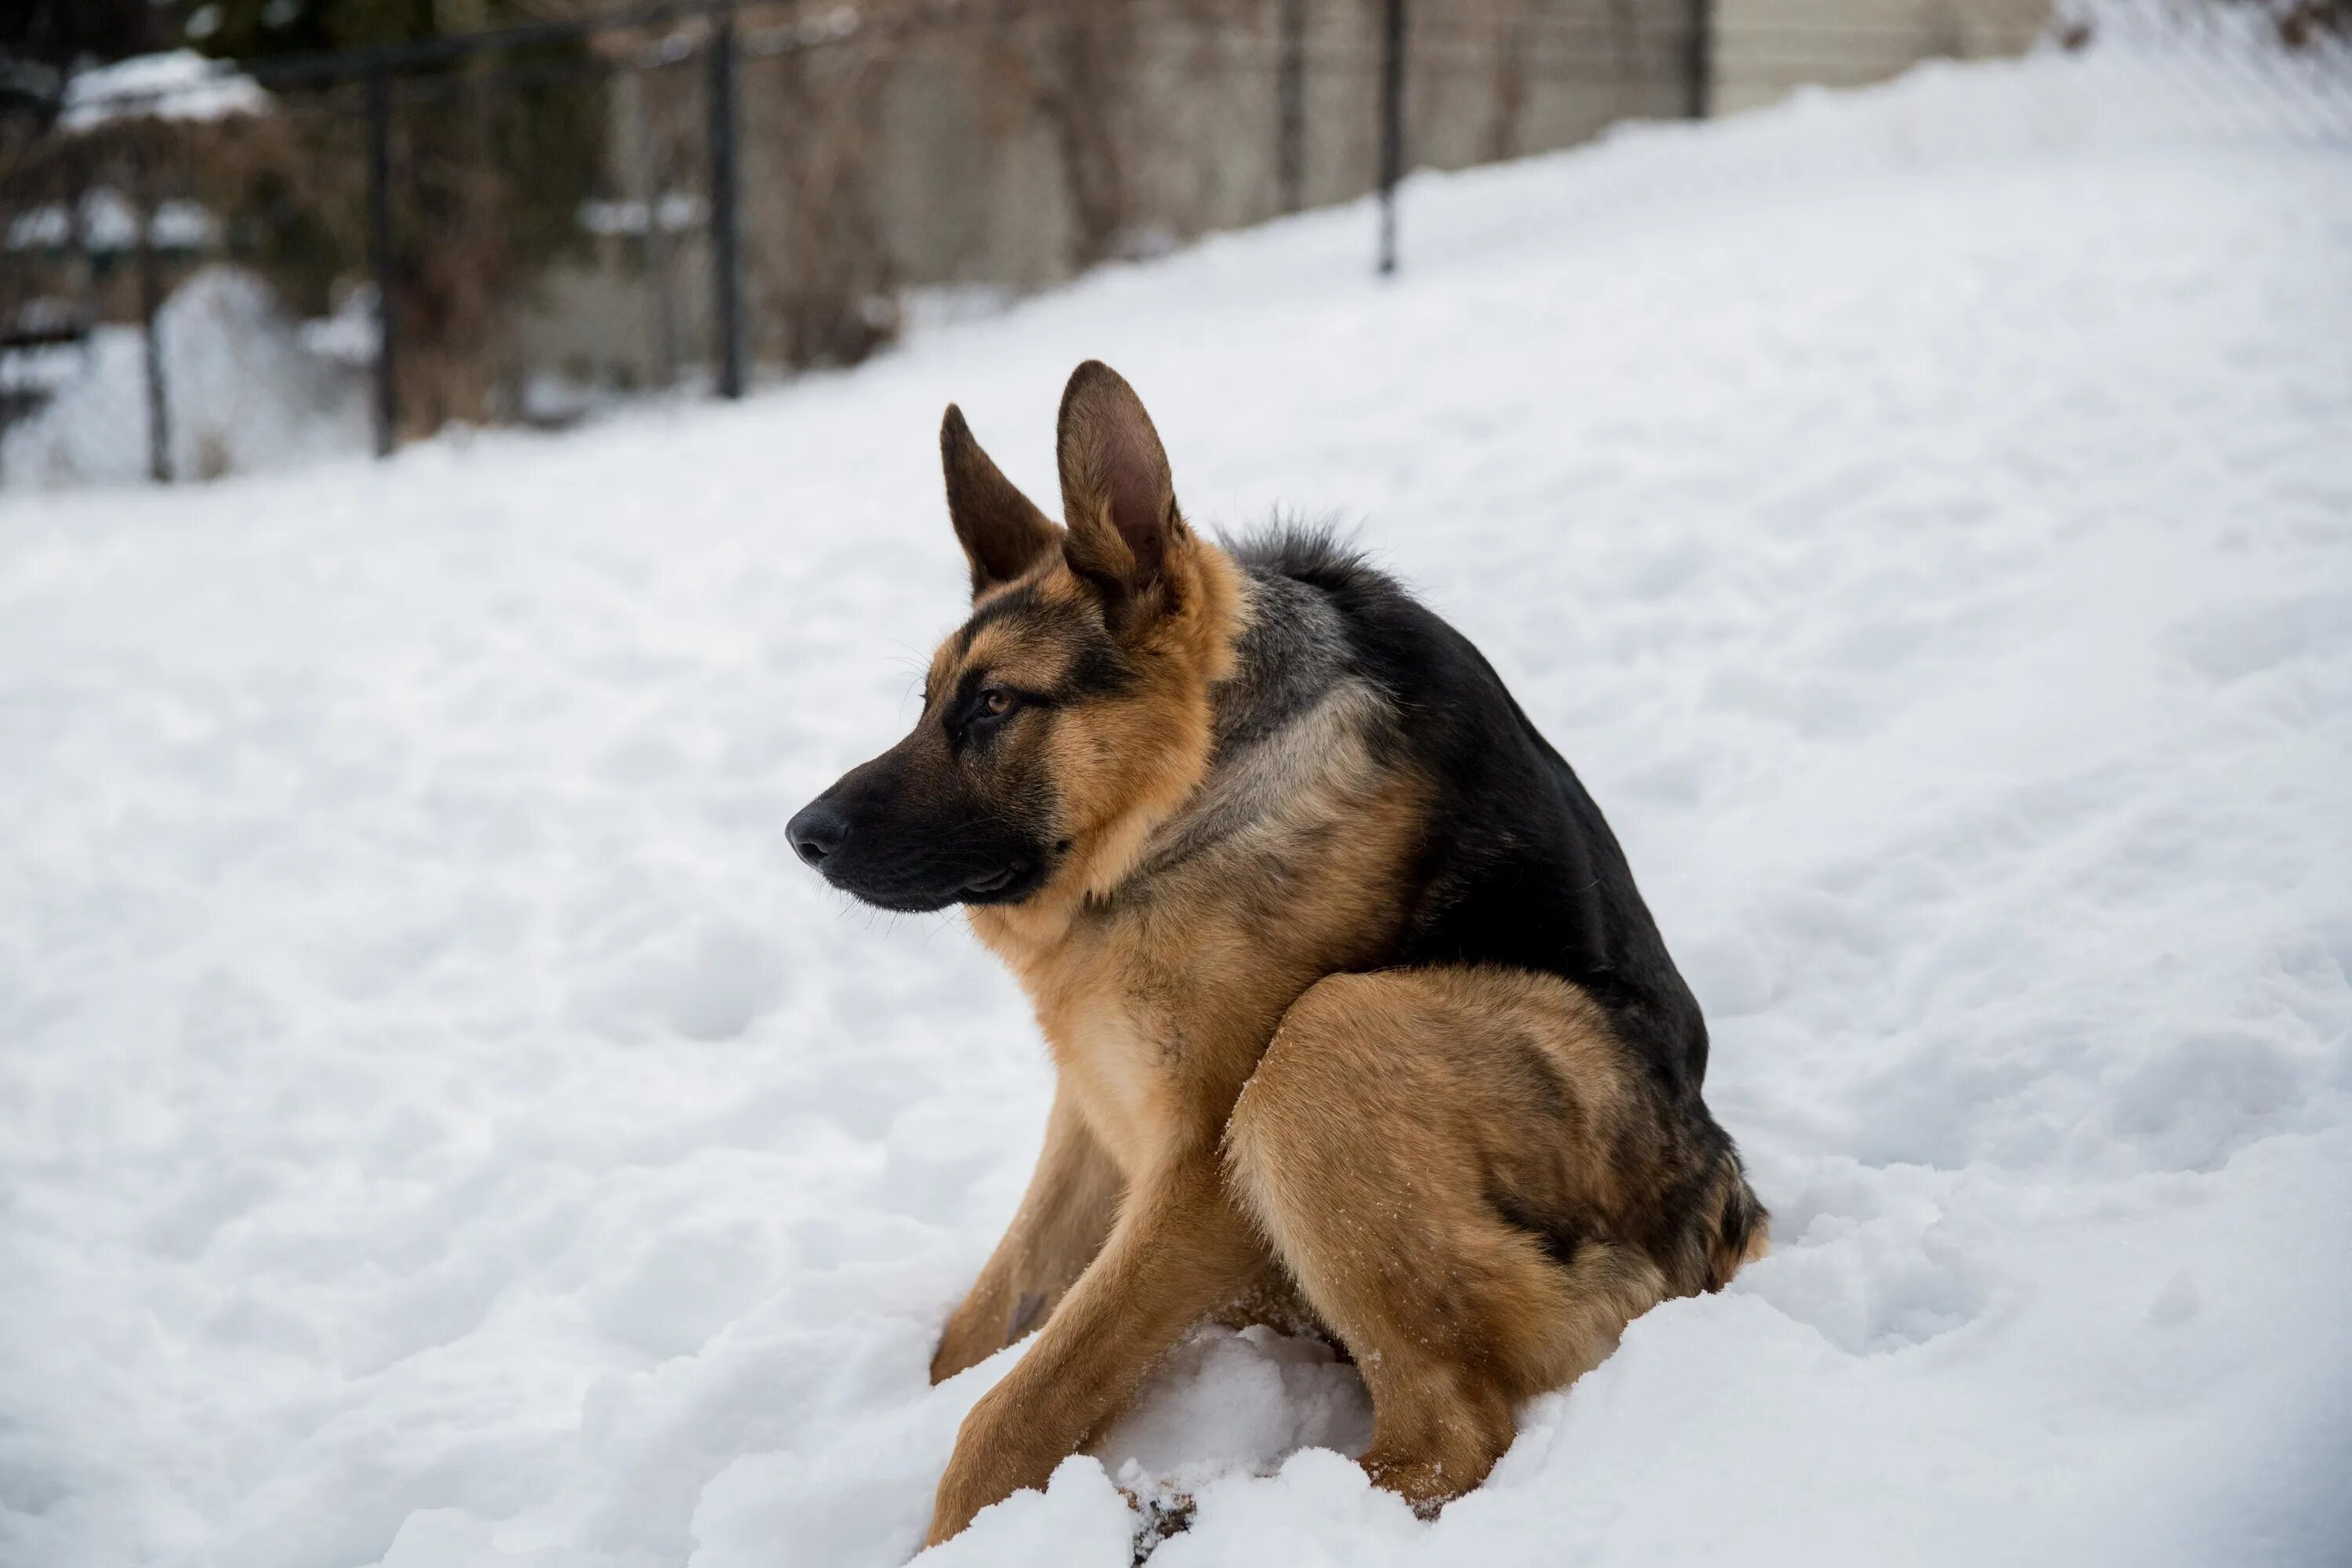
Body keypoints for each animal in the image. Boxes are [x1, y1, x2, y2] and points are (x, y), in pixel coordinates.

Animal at [790, 359, 1769, 1542]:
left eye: (992, 705)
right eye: (930, 702)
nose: (801, 834)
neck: (1192, 797)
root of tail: (1720, 1224)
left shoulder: (1198, 1178)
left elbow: (1011, 1410)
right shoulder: (1093, 1107)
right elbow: (976, 1333)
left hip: (1330, 1041)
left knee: (1448, 1433)